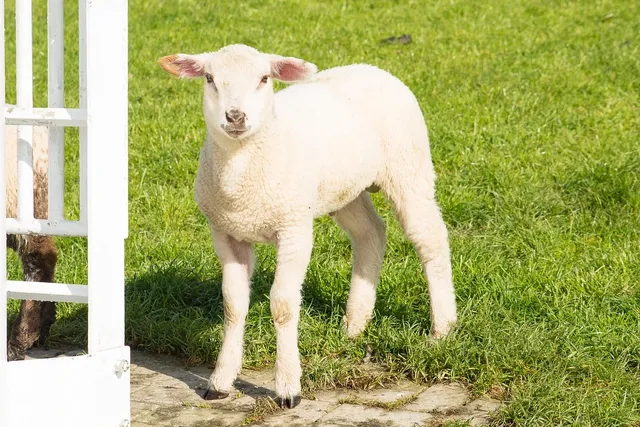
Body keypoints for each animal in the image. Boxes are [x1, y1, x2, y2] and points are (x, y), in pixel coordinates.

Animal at [158, 44, 457, 408]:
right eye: (210, 79)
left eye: (264, 78)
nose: (235, 117)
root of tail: (372, 68)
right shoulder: (226, 233)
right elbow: (232, 305)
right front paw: (220, 381)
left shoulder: (294, 228)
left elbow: (283, 306)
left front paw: (288, 387)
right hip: (346, 190)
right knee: (370, 233)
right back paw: (355, 324)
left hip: (408, 169)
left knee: (430, 239)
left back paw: (442, 329)